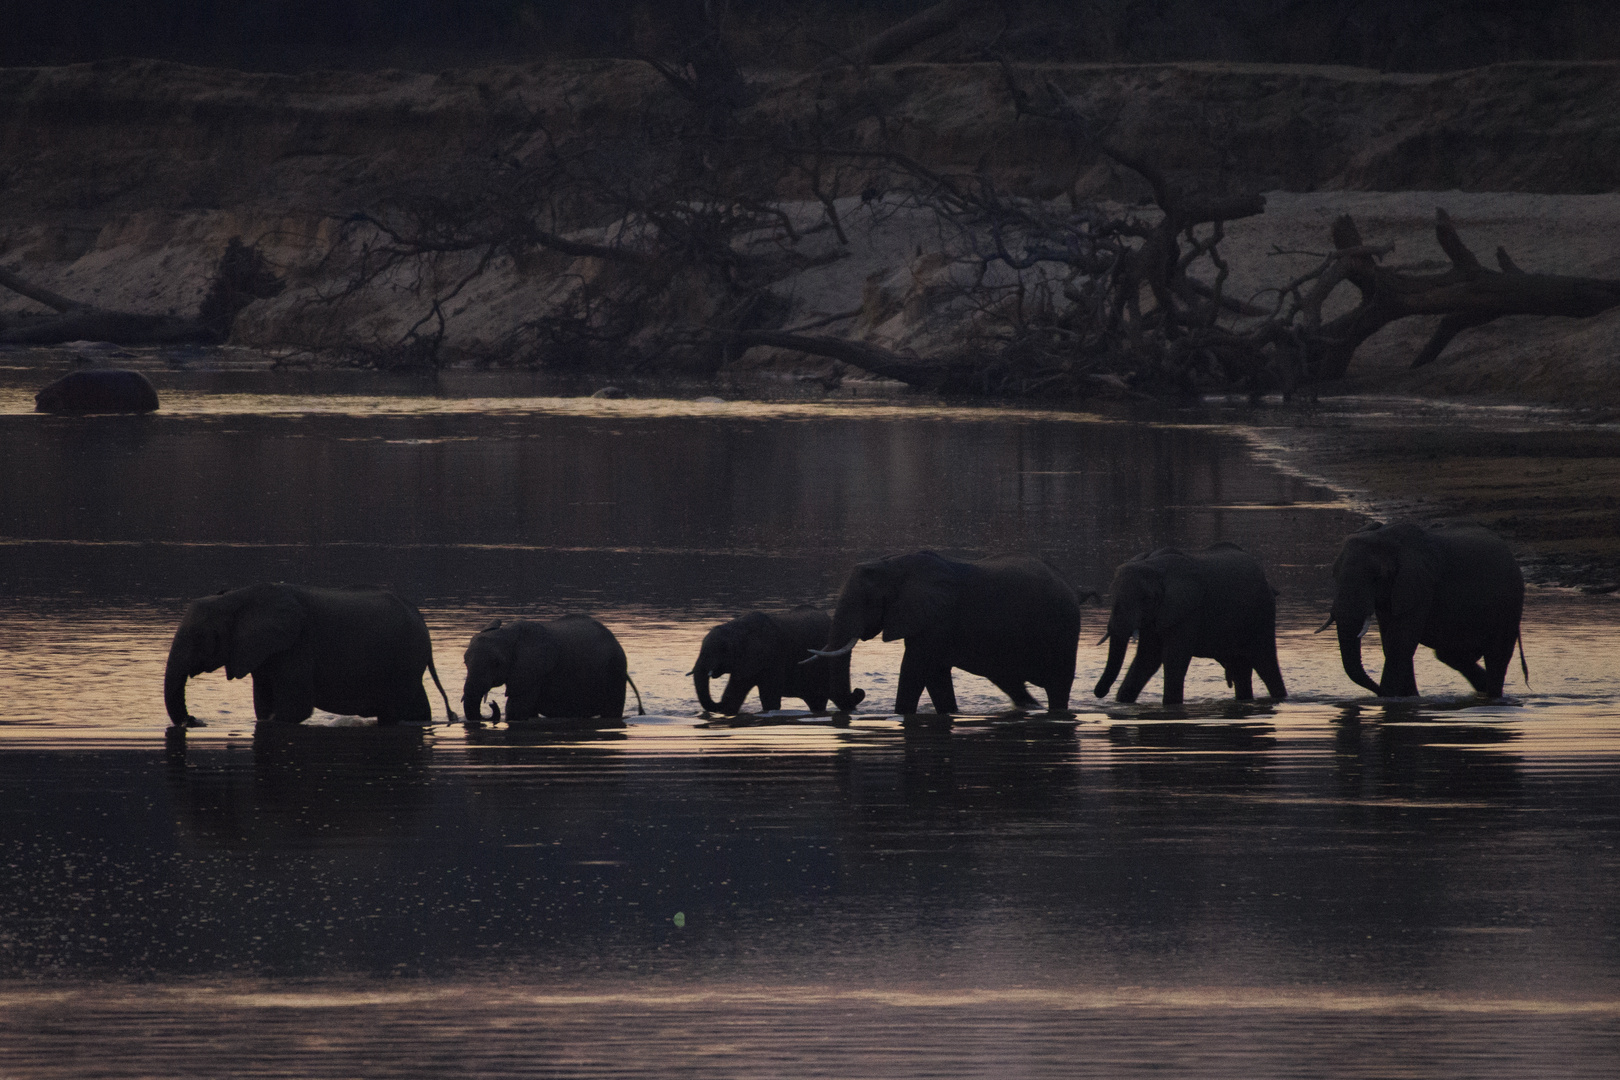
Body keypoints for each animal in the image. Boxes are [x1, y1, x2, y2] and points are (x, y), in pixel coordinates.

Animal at [166, 586, 456, 731]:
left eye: (200, 636)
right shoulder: (263, 652)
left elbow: (295, 708)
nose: (194, 720)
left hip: (404, 661)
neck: (236, 599)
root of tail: (422, 622)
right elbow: (264, 704)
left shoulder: (297, 645)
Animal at [460, 615, 641, 725]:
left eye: (496, 663)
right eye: (465, 662)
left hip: (615, 669)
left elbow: (516, 708)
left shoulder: (534, 669)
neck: (508, 632)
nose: (491, 704)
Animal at [686, 608, 829, 718]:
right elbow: (735, 694)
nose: (719, 702)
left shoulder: (773, 658)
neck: (736, 630)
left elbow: (769, 698)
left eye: (722, 649)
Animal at [810, 550, 1088, 718]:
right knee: (1011, 683)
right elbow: (936, 676)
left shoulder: (936, 619)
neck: (894, 564)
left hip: (1063, 632)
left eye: (867, 601)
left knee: (1057, 687)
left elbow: (915, 670)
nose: (859, 692)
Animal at [1095, 540, 1283, 709]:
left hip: (1262, 613)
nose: (1098, 693)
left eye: (1146, 598)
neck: (1153, 565)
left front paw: (1171, 705)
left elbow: (1174, 658)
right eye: (1112, 593)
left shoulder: (1188, 609)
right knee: (1240, 669)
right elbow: (1147, 658)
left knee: (1266, 664)